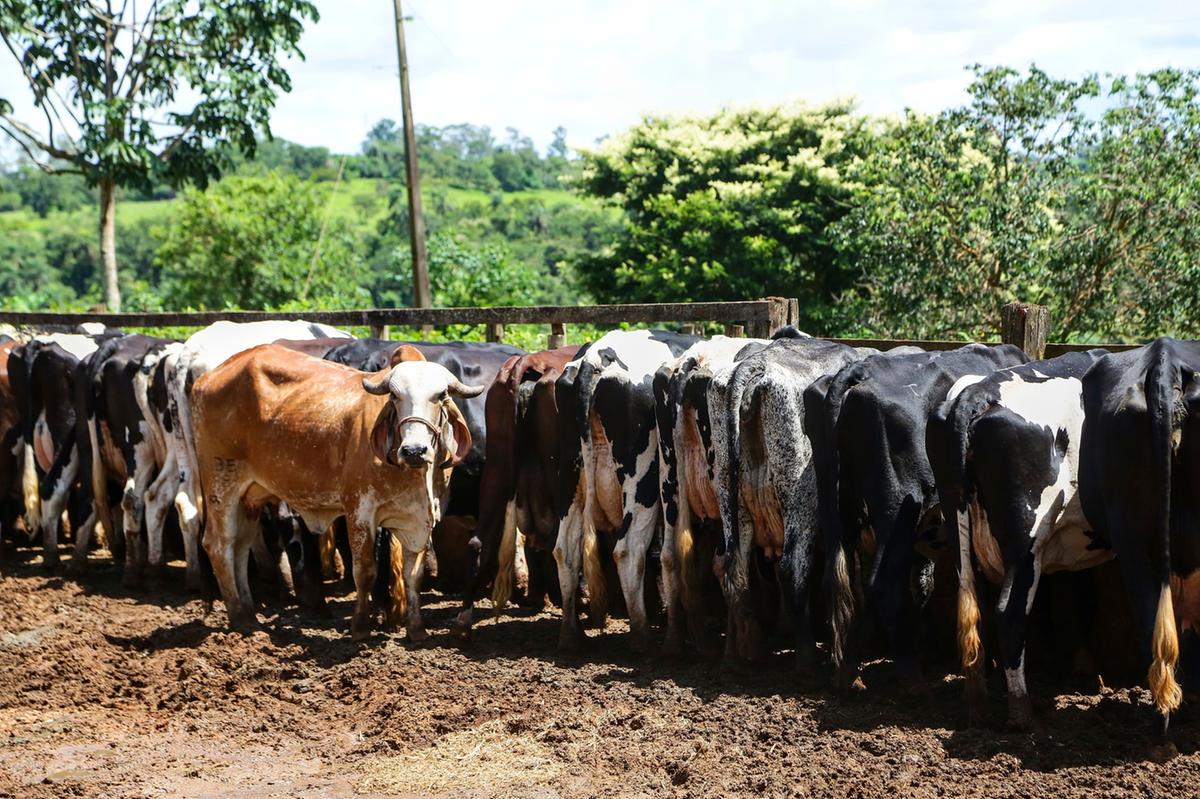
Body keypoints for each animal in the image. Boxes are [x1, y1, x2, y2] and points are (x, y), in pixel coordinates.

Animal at [192, 343, 482, 633]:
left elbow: (414, 575)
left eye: (441, 395)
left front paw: (416, 629)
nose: (413, 450)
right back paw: (239, 617)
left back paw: (249, 616)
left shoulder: (421, 518)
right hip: (221, 486)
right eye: (394, 396)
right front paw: (360, 626)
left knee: (240, 547)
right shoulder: (359, 511)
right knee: (218, 545)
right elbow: (365, 570)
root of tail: (207, 378)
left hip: (250, 496)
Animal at [549, 326, 696, 652]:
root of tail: (595, 356)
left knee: (565, 548)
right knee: (630, 550)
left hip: (571, 474)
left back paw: (570, 634)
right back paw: (643, 636)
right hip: (641, 478)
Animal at [811, 343, 1027, 691]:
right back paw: (912, 678)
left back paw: (847, 673)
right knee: (885, 584)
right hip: (898, 508)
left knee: (839, 578)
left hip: (836, 501)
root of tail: (860, 371)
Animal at [926, 347, 1104, 729]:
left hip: (957, 520)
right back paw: (1022, 714)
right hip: (1026, 541)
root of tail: (976, 394)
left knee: (972, 607)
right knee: (1008, 614)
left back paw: (977, 703)